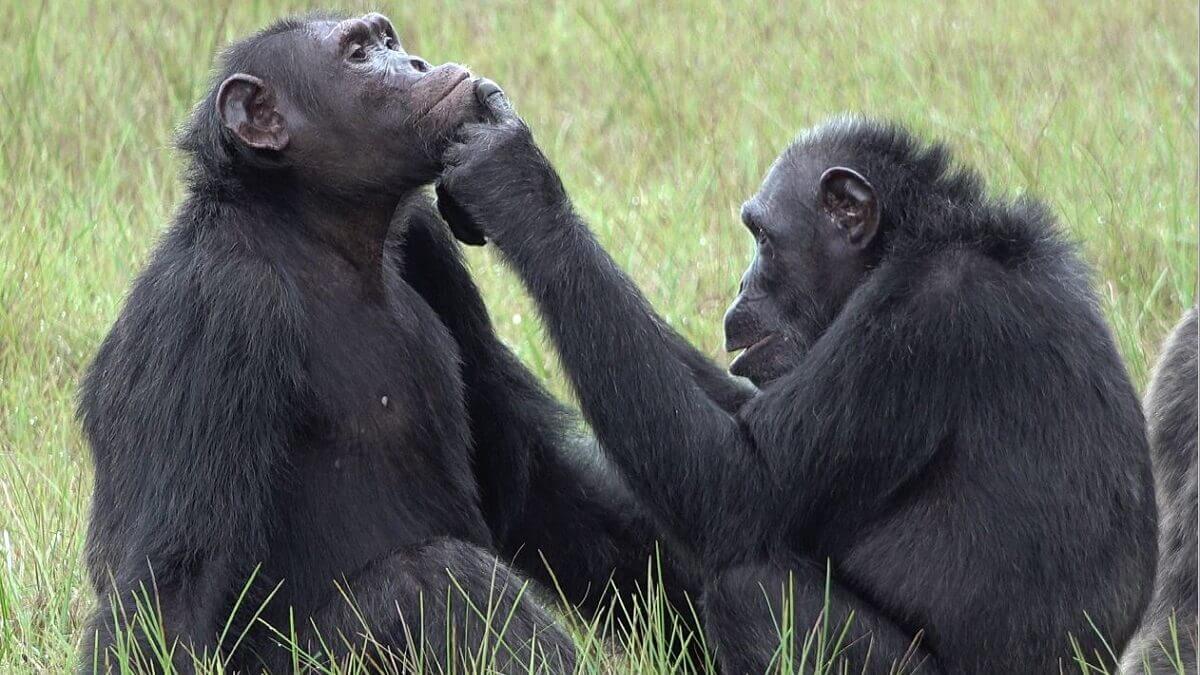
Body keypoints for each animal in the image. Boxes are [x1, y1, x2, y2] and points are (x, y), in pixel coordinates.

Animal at [77, 13, 700, 667]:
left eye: (387, 41)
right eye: (358, 54)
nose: (415, 63)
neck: (315, 231)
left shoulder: (429, 246)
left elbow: (532, 480)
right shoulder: (216, 308)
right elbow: (176, 582)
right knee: (434, 579)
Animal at [439, 107, 1161, 667]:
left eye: (762, 236)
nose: (740, 284)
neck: (911, 242)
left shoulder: (922, 322)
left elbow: (742, 486)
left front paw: (517, 187)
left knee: (750, 592)